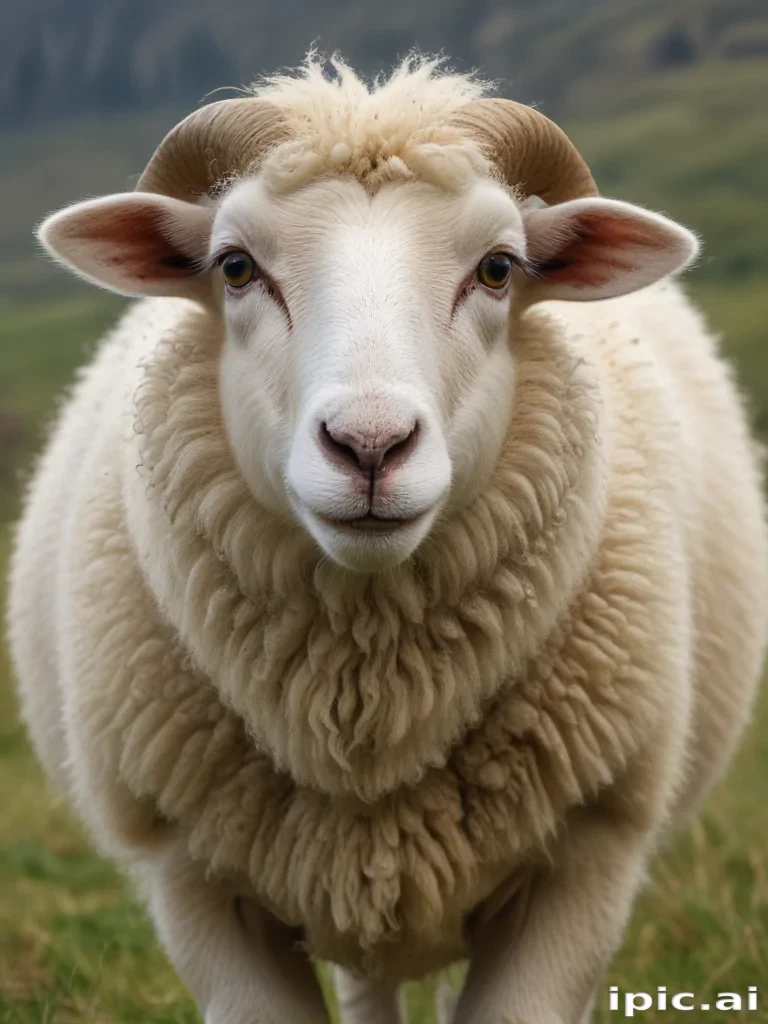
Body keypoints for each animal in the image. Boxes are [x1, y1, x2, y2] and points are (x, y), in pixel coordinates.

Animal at [7, 55, 767, 1024]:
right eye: (235, 266)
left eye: (498, 268)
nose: (370, 446)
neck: (370, 708)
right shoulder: (194, 882)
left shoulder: (587, 860)